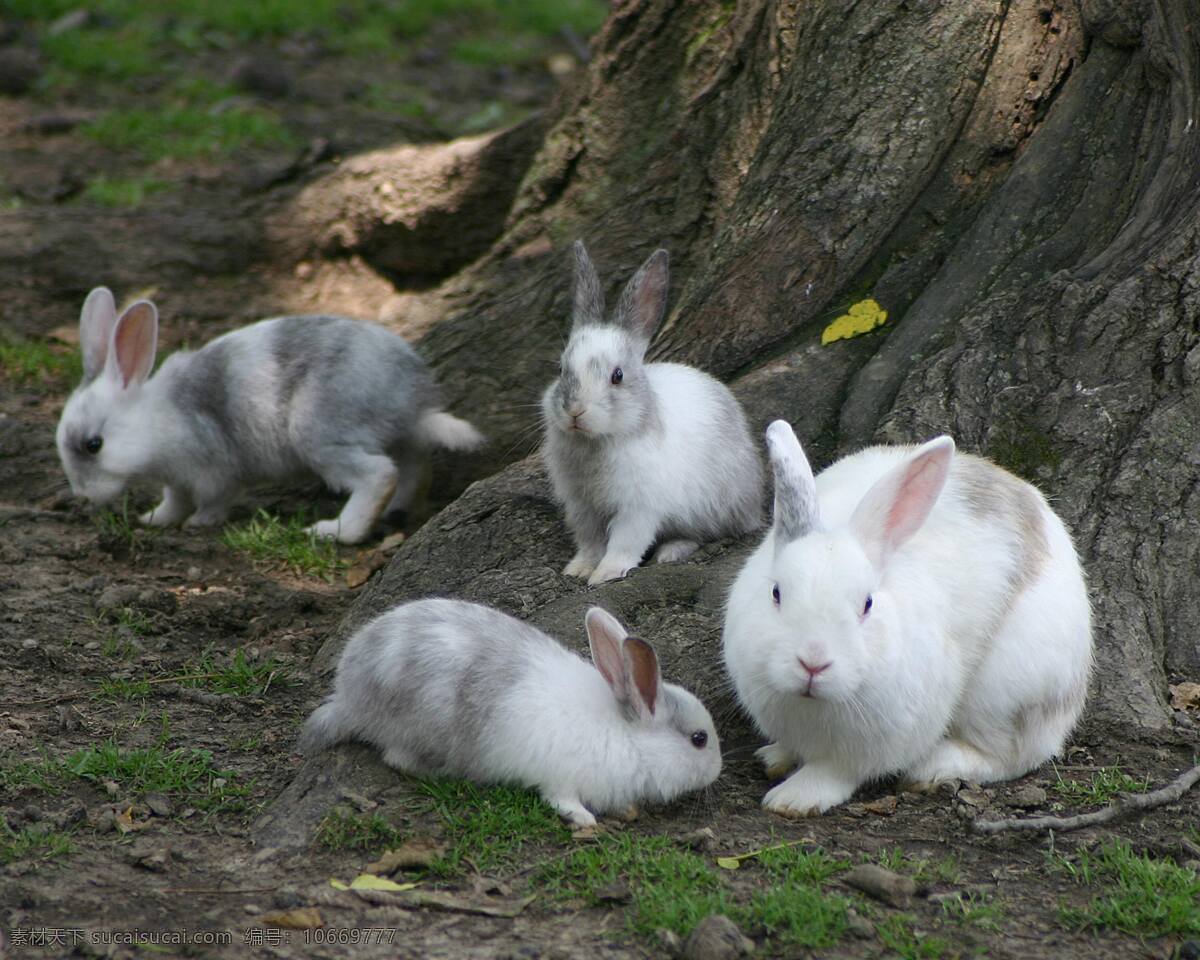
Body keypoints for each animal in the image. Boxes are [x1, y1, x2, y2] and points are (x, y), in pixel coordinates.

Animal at [51, 285, 482, 544]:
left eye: (93, 445)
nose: (83, 495)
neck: (156, 417)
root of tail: (412, 399)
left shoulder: (213, 472)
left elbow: (213, 500)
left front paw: (198, 524)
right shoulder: (177, 481)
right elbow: (174, 500)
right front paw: (155, 519)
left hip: (320, 435)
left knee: (380, 474)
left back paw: (335, 531)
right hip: (396, 437)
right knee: (415, 466)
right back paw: (398, 512)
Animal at [298, 600, 720, 825]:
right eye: (699, 739)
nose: (719, 771)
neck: (626, 735)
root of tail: (348, 697)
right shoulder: (561, 779)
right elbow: (563, 801)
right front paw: (586, 819)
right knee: (397, 758)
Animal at [542, 242, 758, 585]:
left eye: (617, 376)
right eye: (560, 369)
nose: (575, 411)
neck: (595, 442)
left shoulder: (638, 507)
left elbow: (625, 542)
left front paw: (605, 574)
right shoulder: (582, 508)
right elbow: (590, 542)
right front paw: (579, 569)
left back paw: (671, 551)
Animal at [720, 415, 1099, 816]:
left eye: (867, 604)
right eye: (776, 593)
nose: (813, 663)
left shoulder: (879, 740)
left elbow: (837, 771)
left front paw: (793, 799)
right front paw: (776, 757)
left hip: (1010, 690)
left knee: (1012, 754)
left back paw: (935, 767)